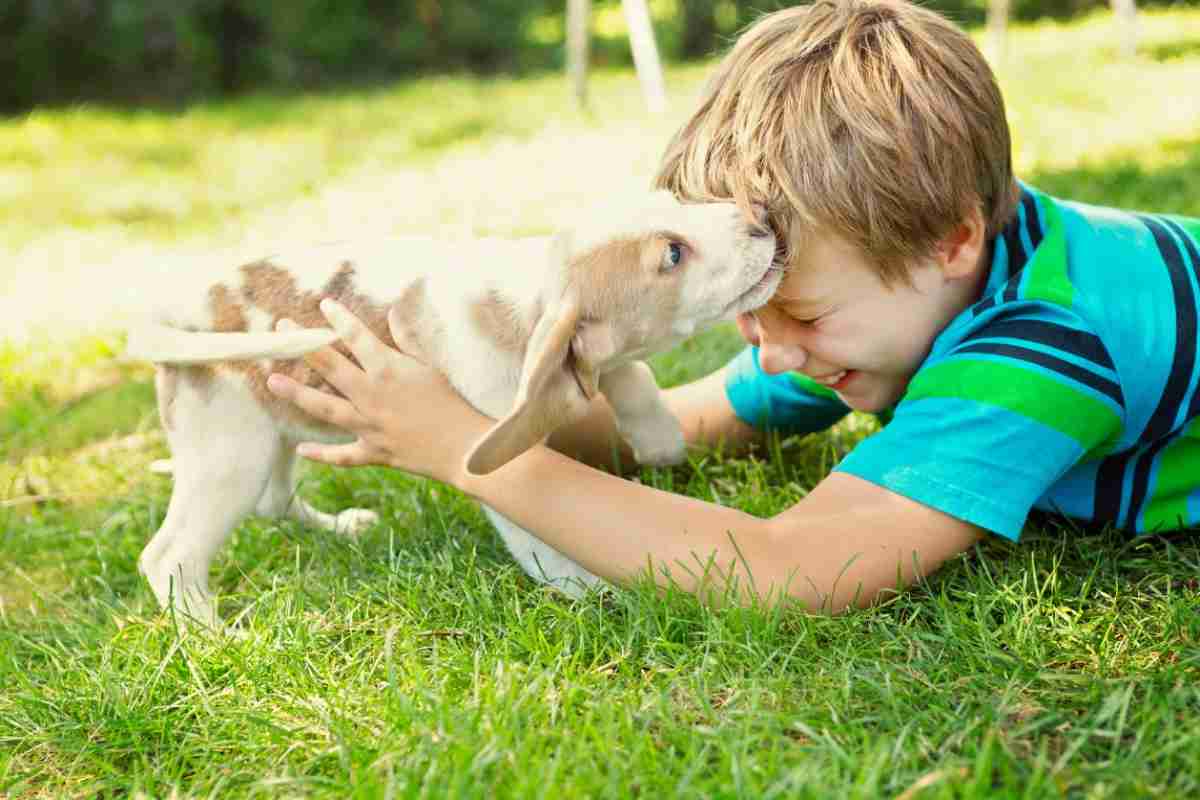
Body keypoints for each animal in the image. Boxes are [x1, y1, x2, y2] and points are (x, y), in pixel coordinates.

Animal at [121, 191, 777, 623]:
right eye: (673, 255)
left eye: (675, 200)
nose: (762, 216)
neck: (522, 298)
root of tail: (174, 317)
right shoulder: (507, 463)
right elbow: (544, 545)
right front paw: (595, 593)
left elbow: (629, 369)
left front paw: (658, 435)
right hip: (231, 452)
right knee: (170, 557)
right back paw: (215, 639)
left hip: (271, 434)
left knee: (273, 501)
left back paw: (341, 527)